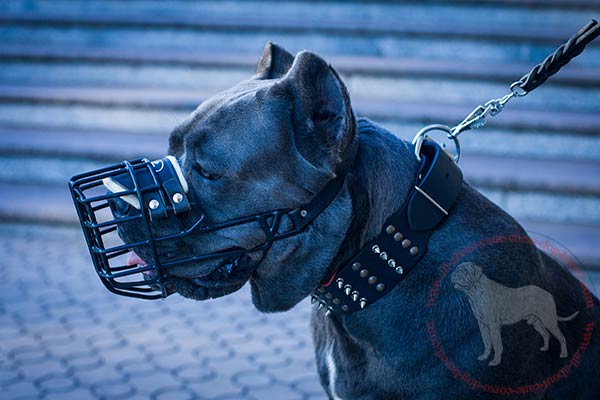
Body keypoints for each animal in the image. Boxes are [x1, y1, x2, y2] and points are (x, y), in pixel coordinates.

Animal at [452, 260, 580, 368]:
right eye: (457, 269)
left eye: (465, 271)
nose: (453, 274)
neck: (476, 292)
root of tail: (549, 294)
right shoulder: (482, 325)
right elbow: (487, 342)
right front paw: (484, 356)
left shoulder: (493, 326)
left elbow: (497, 345)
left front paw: (495, 361)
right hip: (537, 323)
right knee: (546, 334)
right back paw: (544, 348)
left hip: (549, 321)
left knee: (561, 337)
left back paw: (563, 354)